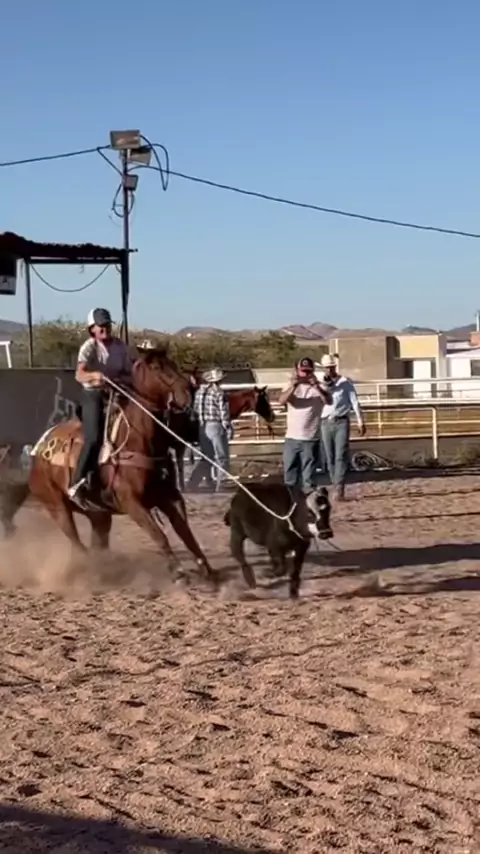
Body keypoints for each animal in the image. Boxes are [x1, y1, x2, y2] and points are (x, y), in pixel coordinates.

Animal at [0, 349, 216, 586]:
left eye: (172, 364)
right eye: (157, 367)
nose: (189, 389)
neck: (139, 441)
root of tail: (38, 453)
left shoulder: (170, 497)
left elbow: (185, 531)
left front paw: (205, 567)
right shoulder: (132, 503)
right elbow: (158, 534)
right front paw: (178, 572)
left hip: (99, 515)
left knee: (96, 544)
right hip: (56, 506)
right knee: (77, 543)